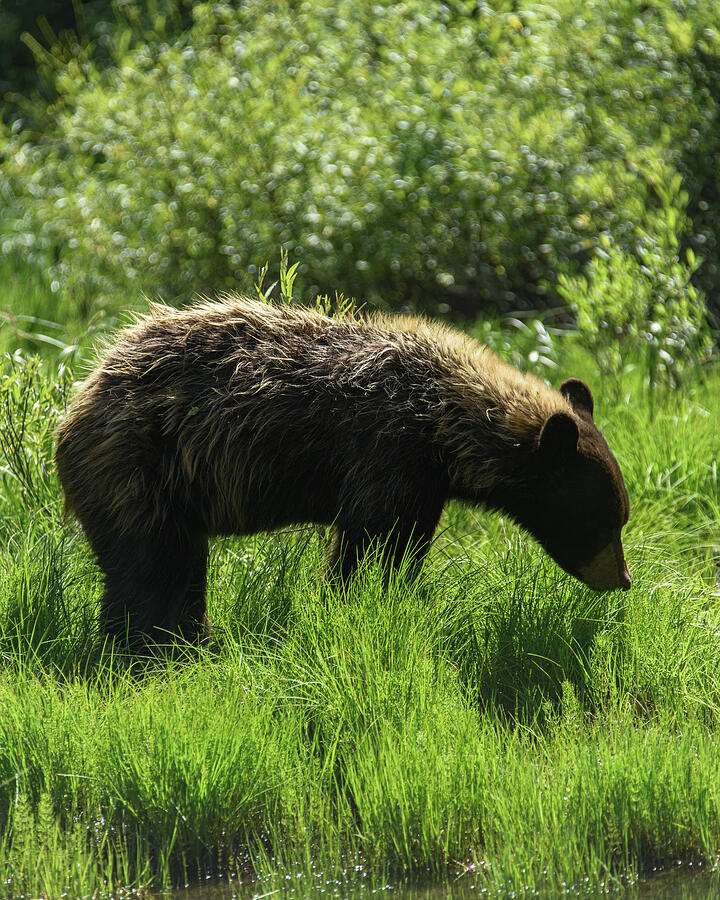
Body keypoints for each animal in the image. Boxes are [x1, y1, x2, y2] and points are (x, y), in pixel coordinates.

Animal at [55, 296, 631, 649]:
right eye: (607, 519)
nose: (622, 579)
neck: (443, 427)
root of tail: (81, 396)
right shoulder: (385, 454)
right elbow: (366, 543)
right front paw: (353, 600)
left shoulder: (424, 484)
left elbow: (404, 547)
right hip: (140, 470)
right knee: (151, 566)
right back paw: (145, 647)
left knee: (181, 567)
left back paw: (191, 638)